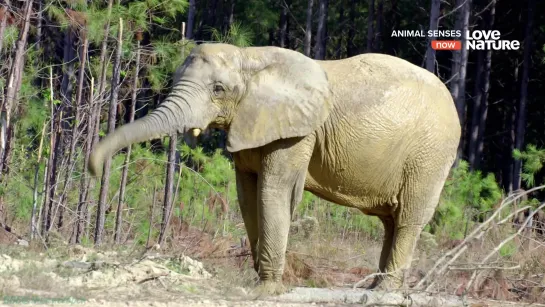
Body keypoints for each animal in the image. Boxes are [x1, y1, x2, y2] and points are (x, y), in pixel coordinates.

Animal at [88, 42, 460, 294]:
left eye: (218, 89)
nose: (93, 170)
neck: (250, 59)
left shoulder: (298, 132)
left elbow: (273, 191)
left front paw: (266, 290)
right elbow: (247, 195)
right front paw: (258, 283)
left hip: (430, 155)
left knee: (409, 218)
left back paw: (384, 292)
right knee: (390, 222)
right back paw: (374, 288)